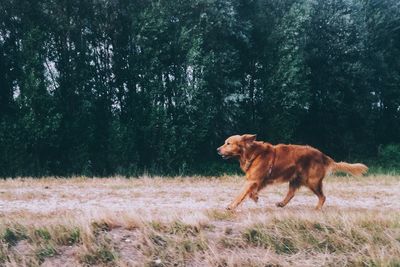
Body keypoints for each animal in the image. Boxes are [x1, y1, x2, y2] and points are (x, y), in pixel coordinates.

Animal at [217, 135, 368, 210]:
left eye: (228, 143)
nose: (217, 150)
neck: (252, 153)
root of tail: (323, 155)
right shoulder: (258, 180)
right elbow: (250, 193)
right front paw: (255, 197)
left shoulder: (253, 180)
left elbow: (241, 194)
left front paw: (231, 206)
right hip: (295, 179)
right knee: (291, 193)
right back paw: (281, 204)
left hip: (312, 181)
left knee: (322, 196)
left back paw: (317, 208)